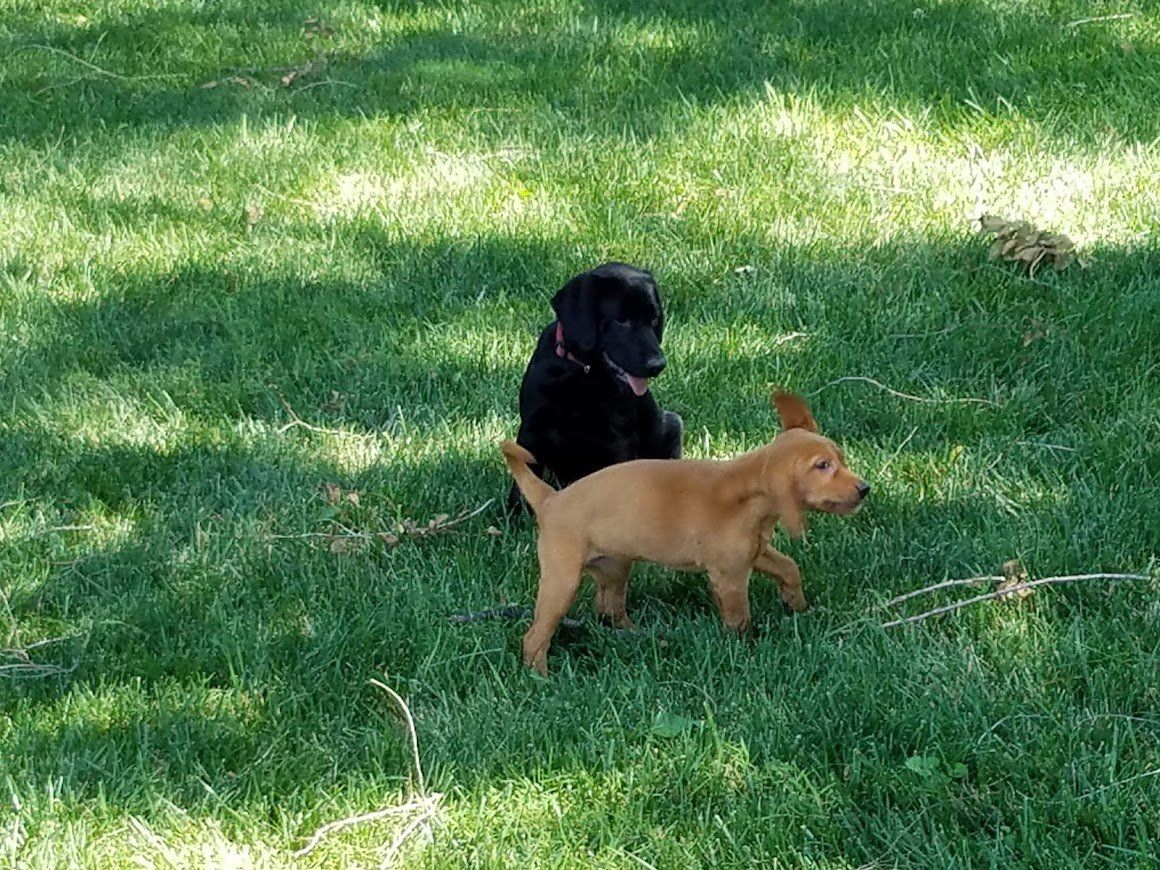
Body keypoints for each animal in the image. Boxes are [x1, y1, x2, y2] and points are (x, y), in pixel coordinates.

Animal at [503, 392, 867, 677]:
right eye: (822, 466)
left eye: (841, 460)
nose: (865, 489)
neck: (749, 496)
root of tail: (550, 499)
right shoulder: (730, 575)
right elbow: (740, 618)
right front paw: (745, 651)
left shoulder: (755, 551)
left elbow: (790, 568)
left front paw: (798, 606)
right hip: (562, 582)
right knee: (535, 636)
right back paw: (541, 676)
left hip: (614, 568)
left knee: (609, 609)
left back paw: (638, 635)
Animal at [505, 262, 682, 515]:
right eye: (621, 320)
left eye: (654, 319)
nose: (658, 364)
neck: (584, 372)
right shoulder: (531, 429)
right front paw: (515, 515)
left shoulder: (619, 441)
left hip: (672, 424)